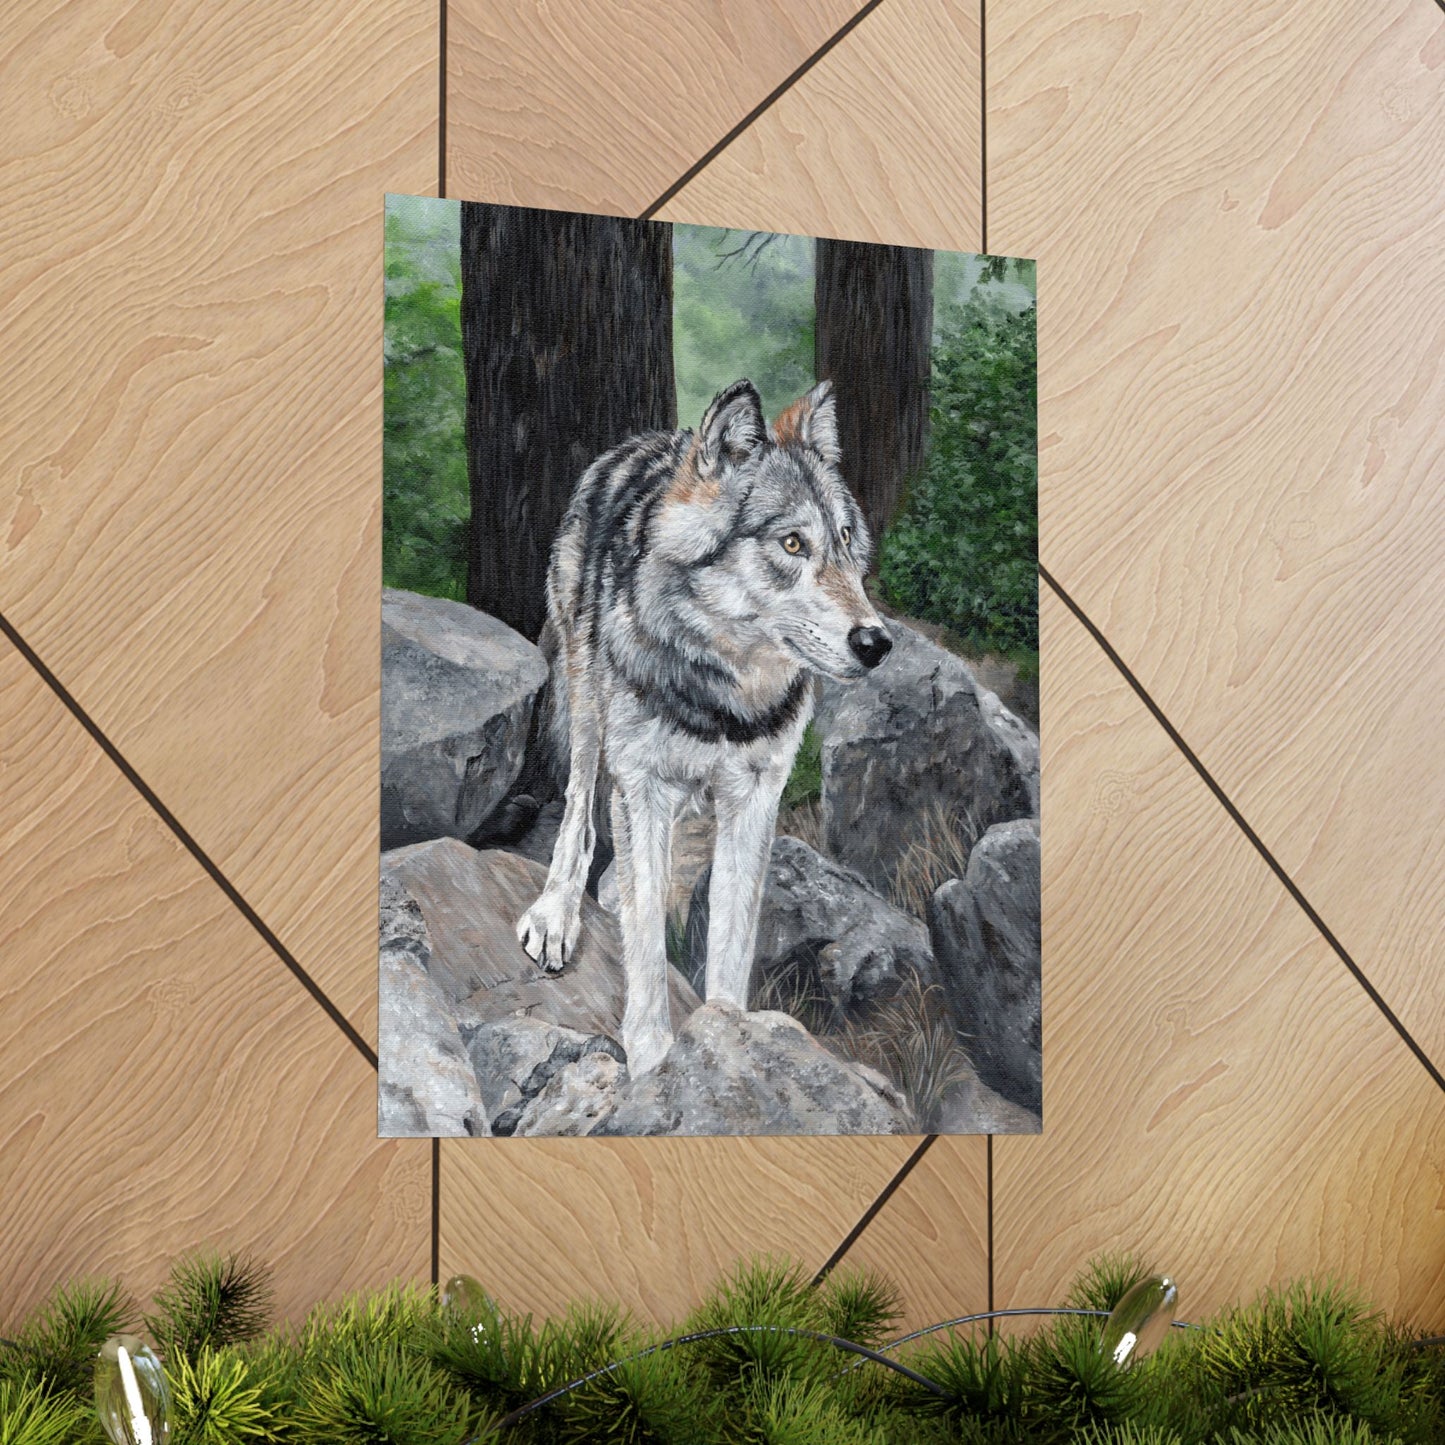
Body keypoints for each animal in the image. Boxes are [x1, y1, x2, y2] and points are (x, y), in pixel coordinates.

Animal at [516, 378, 892, 1077]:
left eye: (847, 540)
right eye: (792, 544)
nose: (877, 643)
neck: (724, 698)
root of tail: (650, 440)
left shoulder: (757, 796)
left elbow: (730, 940)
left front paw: (730, 1041)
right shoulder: (642, 782)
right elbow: (644, 949)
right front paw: (653, 1061)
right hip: (585, 702)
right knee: (580, 808)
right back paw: (558, 912)